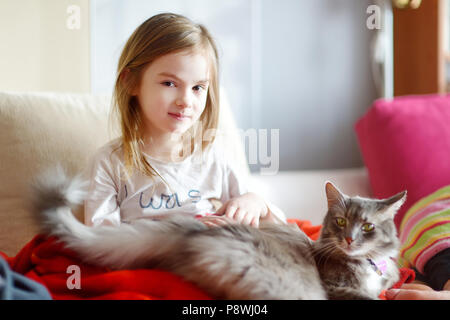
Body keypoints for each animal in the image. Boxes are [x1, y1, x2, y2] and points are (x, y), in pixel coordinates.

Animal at [29, 170, 406, 300]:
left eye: (367, 227)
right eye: (341, 222)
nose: (349, 240)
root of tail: (191, 230)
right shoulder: (338, 290)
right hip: (295, 291)